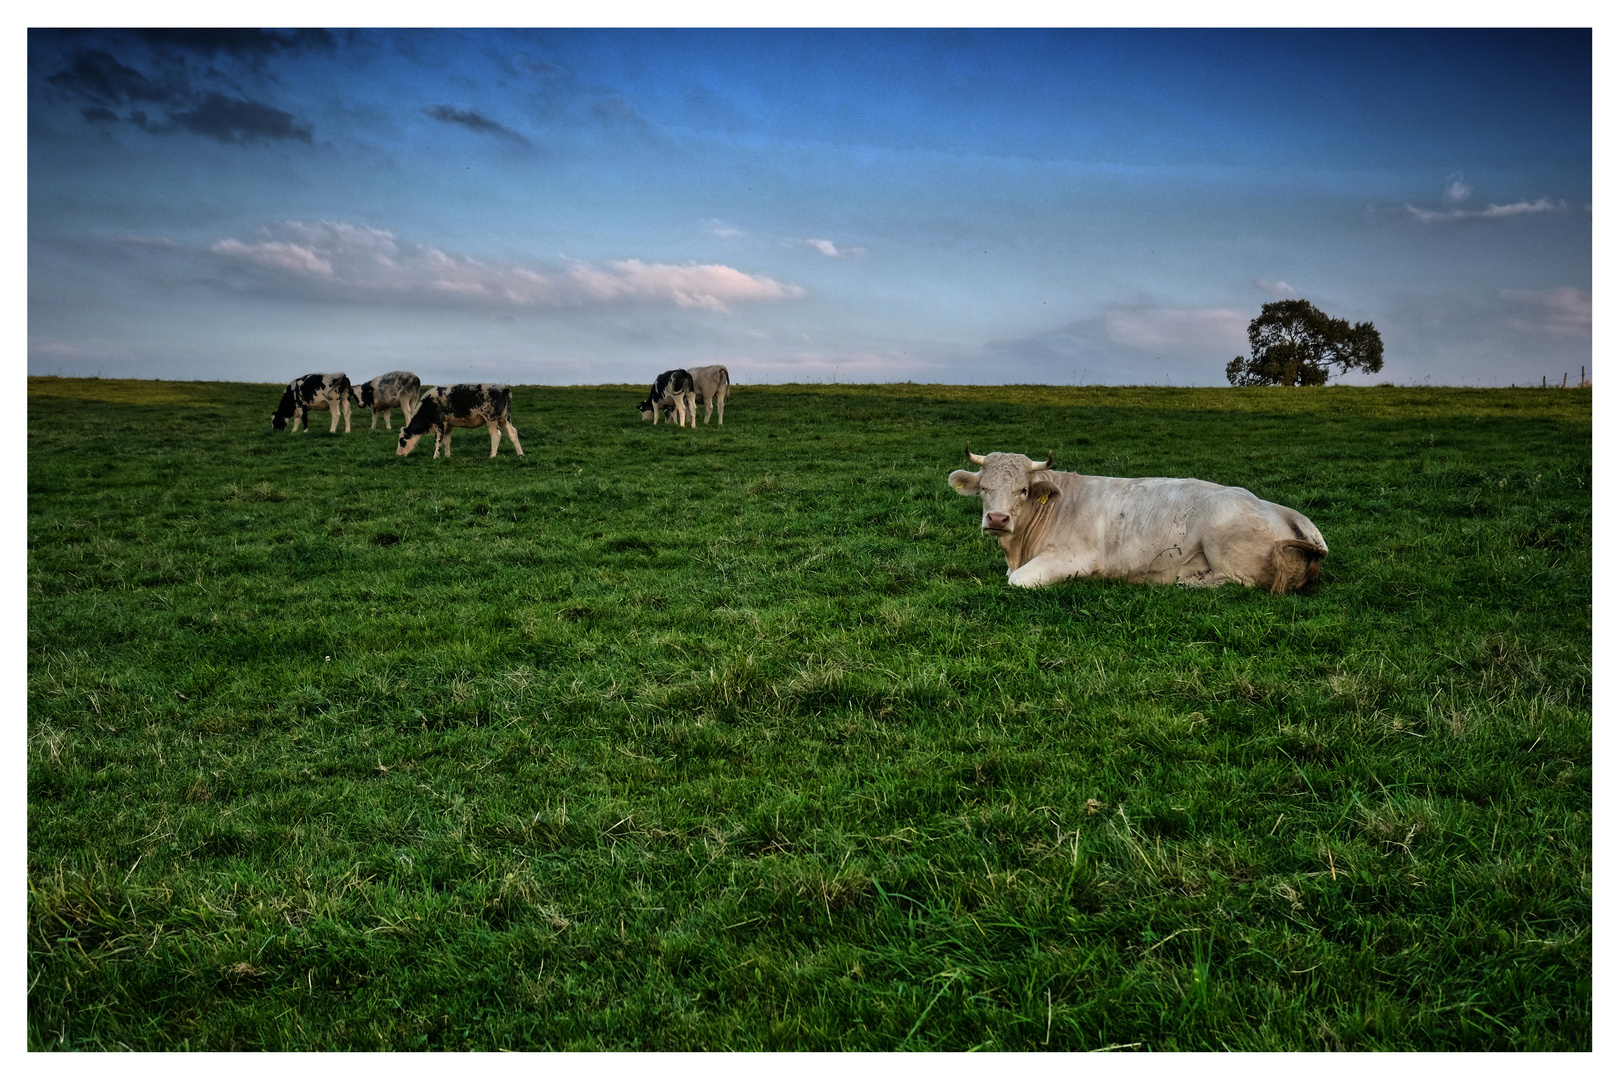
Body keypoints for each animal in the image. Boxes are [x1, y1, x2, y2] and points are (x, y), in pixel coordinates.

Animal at [946, 446, 1328, 595]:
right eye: (984, 488)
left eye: (1023, 490)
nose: (997, 518)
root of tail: (1284, 512)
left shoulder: (1071, 559)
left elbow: (1018, 580)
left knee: (1231, 583)